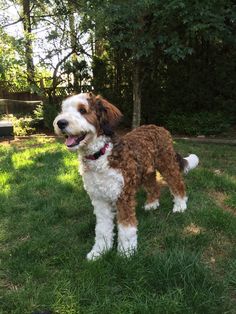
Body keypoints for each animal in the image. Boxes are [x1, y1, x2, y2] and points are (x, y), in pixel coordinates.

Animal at [54, 92, 199, 260]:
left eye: (82, 110)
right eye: (63, 110)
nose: (60, 123)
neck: (100, 156)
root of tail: (157, 127)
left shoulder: (123, 197)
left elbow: (126, 228)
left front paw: (126, 252)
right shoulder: (99, 200)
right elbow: (102, 229)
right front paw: (99, 251)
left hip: (167, 164)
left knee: (177, 183)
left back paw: (180, 205)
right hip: (146, 171)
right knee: (153, 186)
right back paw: (152, 203)